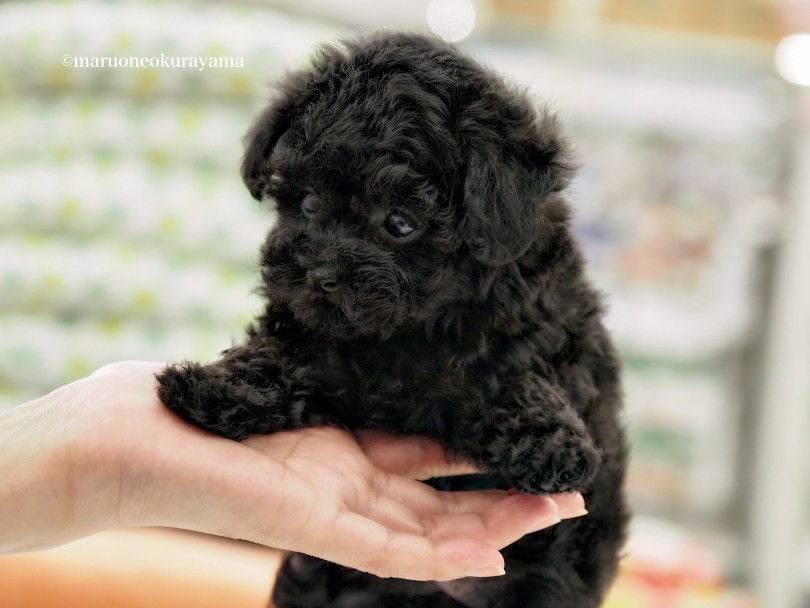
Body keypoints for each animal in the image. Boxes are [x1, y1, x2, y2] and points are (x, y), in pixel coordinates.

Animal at [156, 30, 624, 604]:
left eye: (400, 224)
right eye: (307, 202)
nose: (320, 275)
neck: (404, 331)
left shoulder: (548, 332)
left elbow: (504, 374)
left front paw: (553, 444)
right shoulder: (311, 330)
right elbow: (279, 355)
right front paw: (216, 387)